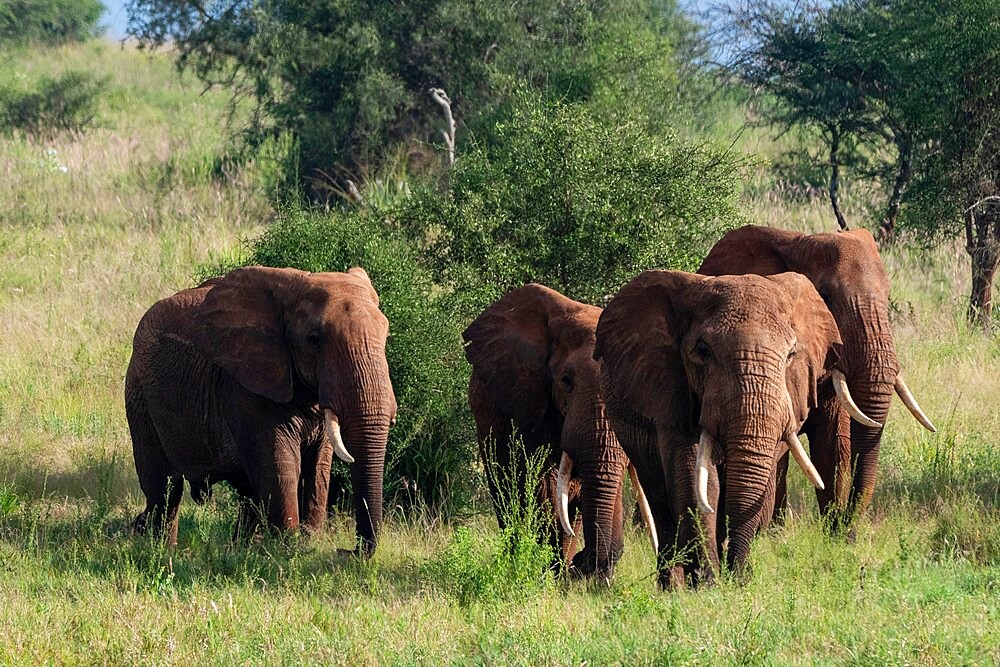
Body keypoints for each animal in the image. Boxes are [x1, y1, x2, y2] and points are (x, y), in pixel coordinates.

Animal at [128, 264, 398, 556]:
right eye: (314, 340)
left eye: (386, 336)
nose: (347, 550)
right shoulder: (246, 387)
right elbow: (280, 467)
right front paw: (287, 549)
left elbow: (318, 469)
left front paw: (307, 543)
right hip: (139, 392)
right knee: (164, 489)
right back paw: (160, 550)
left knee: (245, 494)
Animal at [592, 268, 844, 588]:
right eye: (703, 351)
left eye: (790, 355)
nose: (736, 575)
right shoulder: (671, 389)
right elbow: (696, 480)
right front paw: (707, 583)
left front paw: (735, 578)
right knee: (658, 496)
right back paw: (672, 586)